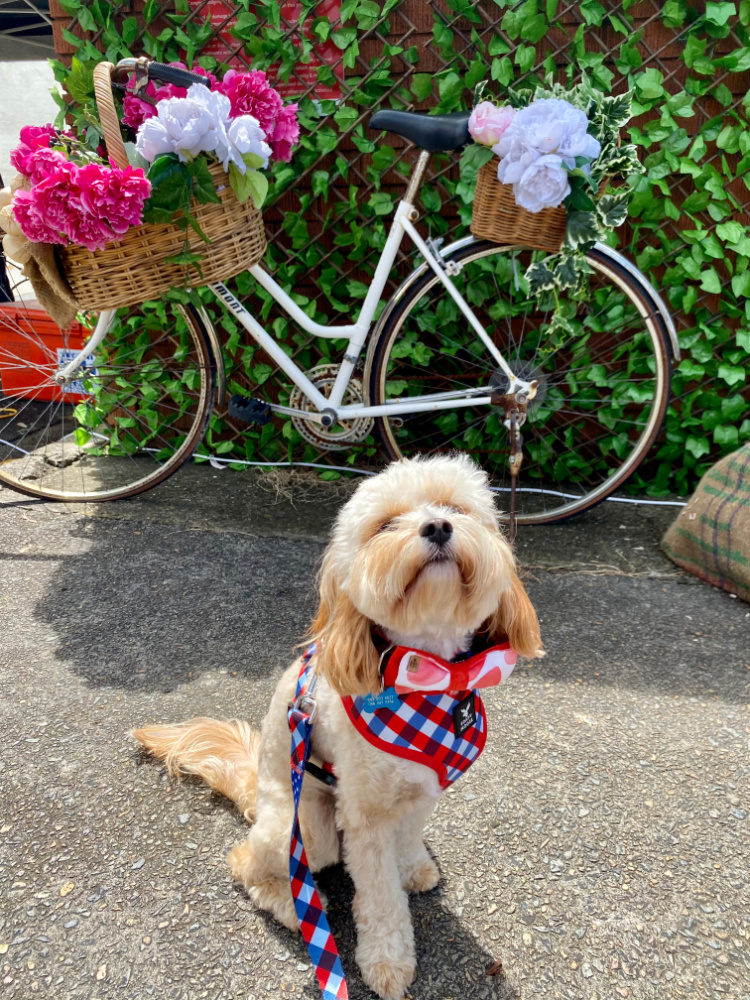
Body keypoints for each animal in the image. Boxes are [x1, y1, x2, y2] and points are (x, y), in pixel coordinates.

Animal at [135, 456, 544, 1000]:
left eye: (456, 507)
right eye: (385, 525)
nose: (438, 526)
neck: (426, 676)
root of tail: (255, 791)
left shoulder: (424, 786)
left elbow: (408, 836)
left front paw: (412, 866)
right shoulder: (363, 814)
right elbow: (380, 895)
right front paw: (387, 961)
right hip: (307, 824)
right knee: (246, 861)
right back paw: (293, 907)